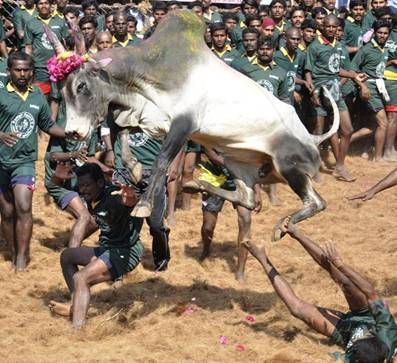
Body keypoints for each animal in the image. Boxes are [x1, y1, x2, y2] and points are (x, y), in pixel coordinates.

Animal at [63, 9, 338, 240]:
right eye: (63, 90)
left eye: (82, 86)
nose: (72, 132)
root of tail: (313, 140)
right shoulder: (146, 117)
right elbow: (121, 133)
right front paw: (136, 168)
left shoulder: (183, 126)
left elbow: (161, 161)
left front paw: (143, 205)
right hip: (236, 163)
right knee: (247, 198)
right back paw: (197, 184)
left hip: (289, 167)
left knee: (317, 203)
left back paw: (281, 226)